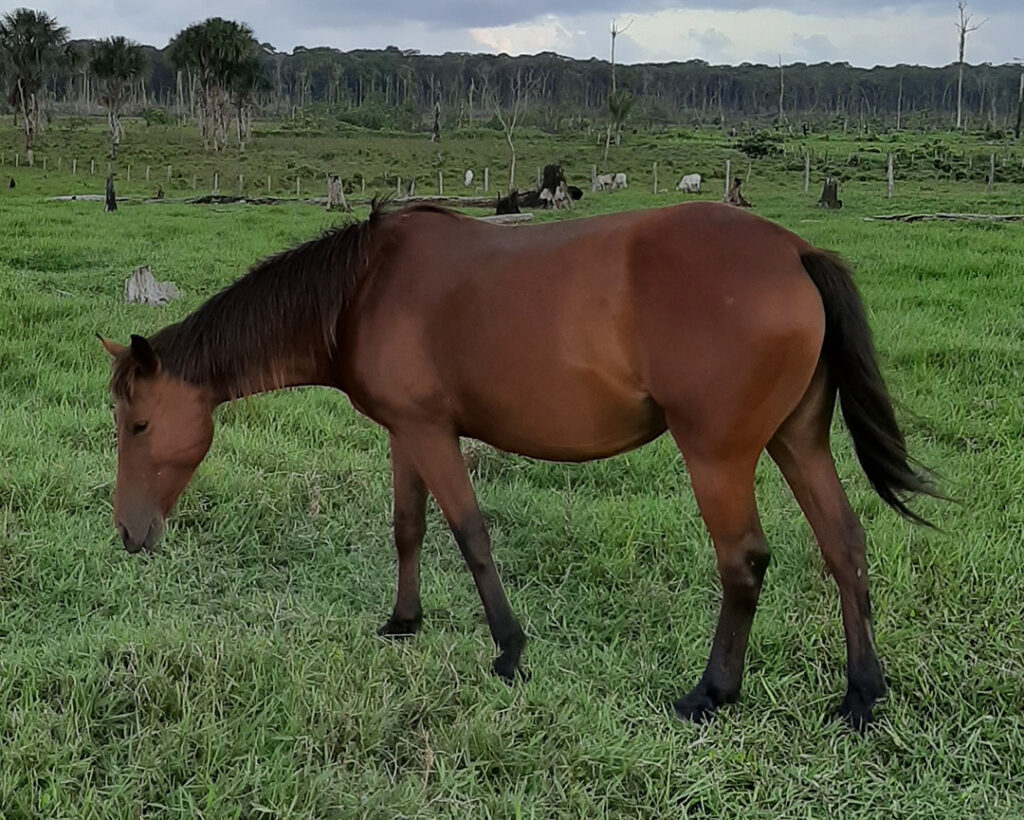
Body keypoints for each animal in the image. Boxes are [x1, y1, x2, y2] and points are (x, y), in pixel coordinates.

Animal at [99, 201, 933, 724]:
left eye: (138, 424)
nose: (129, 535)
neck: (364, 288)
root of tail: (795, 251)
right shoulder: (407, 432)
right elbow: (408, 527)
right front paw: (404, 621)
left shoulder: (432, 433)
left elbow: (470, 533)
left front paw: (509, 650)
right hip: (799, 440)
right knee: (844, 545)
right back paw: (862, 695)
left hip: (717, 457)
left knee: (744, 562)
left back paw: (712, 692)